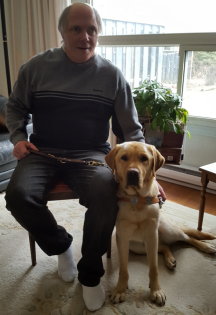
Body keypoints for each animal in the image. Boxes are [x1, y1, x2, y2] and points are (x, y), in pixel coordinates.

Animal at [104, 142, 214, 308]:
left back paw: (206, 247)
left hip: (168, 231)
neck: (137, 199)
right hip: (136, 246)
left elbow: (154, 268)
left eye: (144, 158)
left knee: (187, 238)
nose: (133, 173)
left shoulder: (151, 236)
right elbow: (123, 269)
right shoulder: (122, 237)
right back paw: (170, 260)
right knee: (164, 246)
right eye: (124, 158)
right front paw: (120, 290)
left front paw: (156, 291)